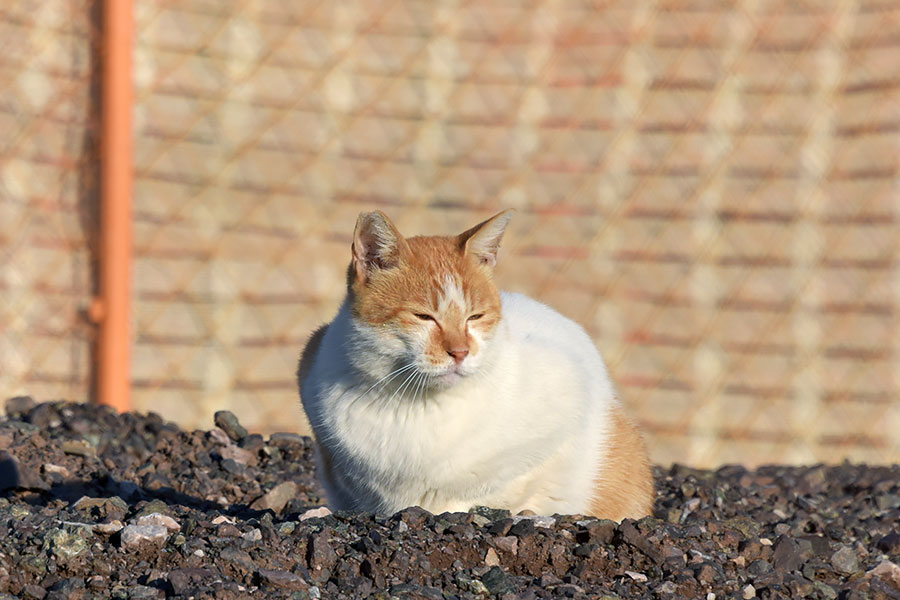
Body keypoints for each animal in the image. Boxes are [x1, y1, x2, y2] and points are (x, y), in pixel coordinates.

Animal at [298, 211, 656, 520]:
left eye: (475, 317)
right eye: (423, 316)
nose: (460, 351)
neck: (418, 408)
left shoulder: (568, 393)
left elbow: (498, 489)